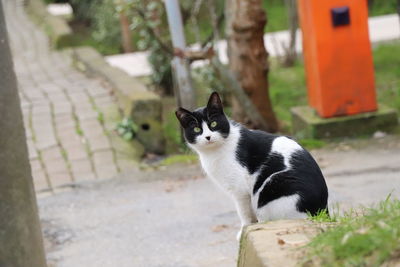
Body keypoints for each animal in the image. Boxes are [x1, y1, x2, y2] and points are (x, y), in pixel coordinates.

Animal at [175, 92, 328, 241]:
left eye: (213, 123)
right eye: (196, 129)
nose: (208, 137)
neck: (215, 152)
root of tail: (323, 212)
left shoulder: (240, 190)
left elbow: (244, 212)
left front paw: (245, 230)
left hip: (270, 187)